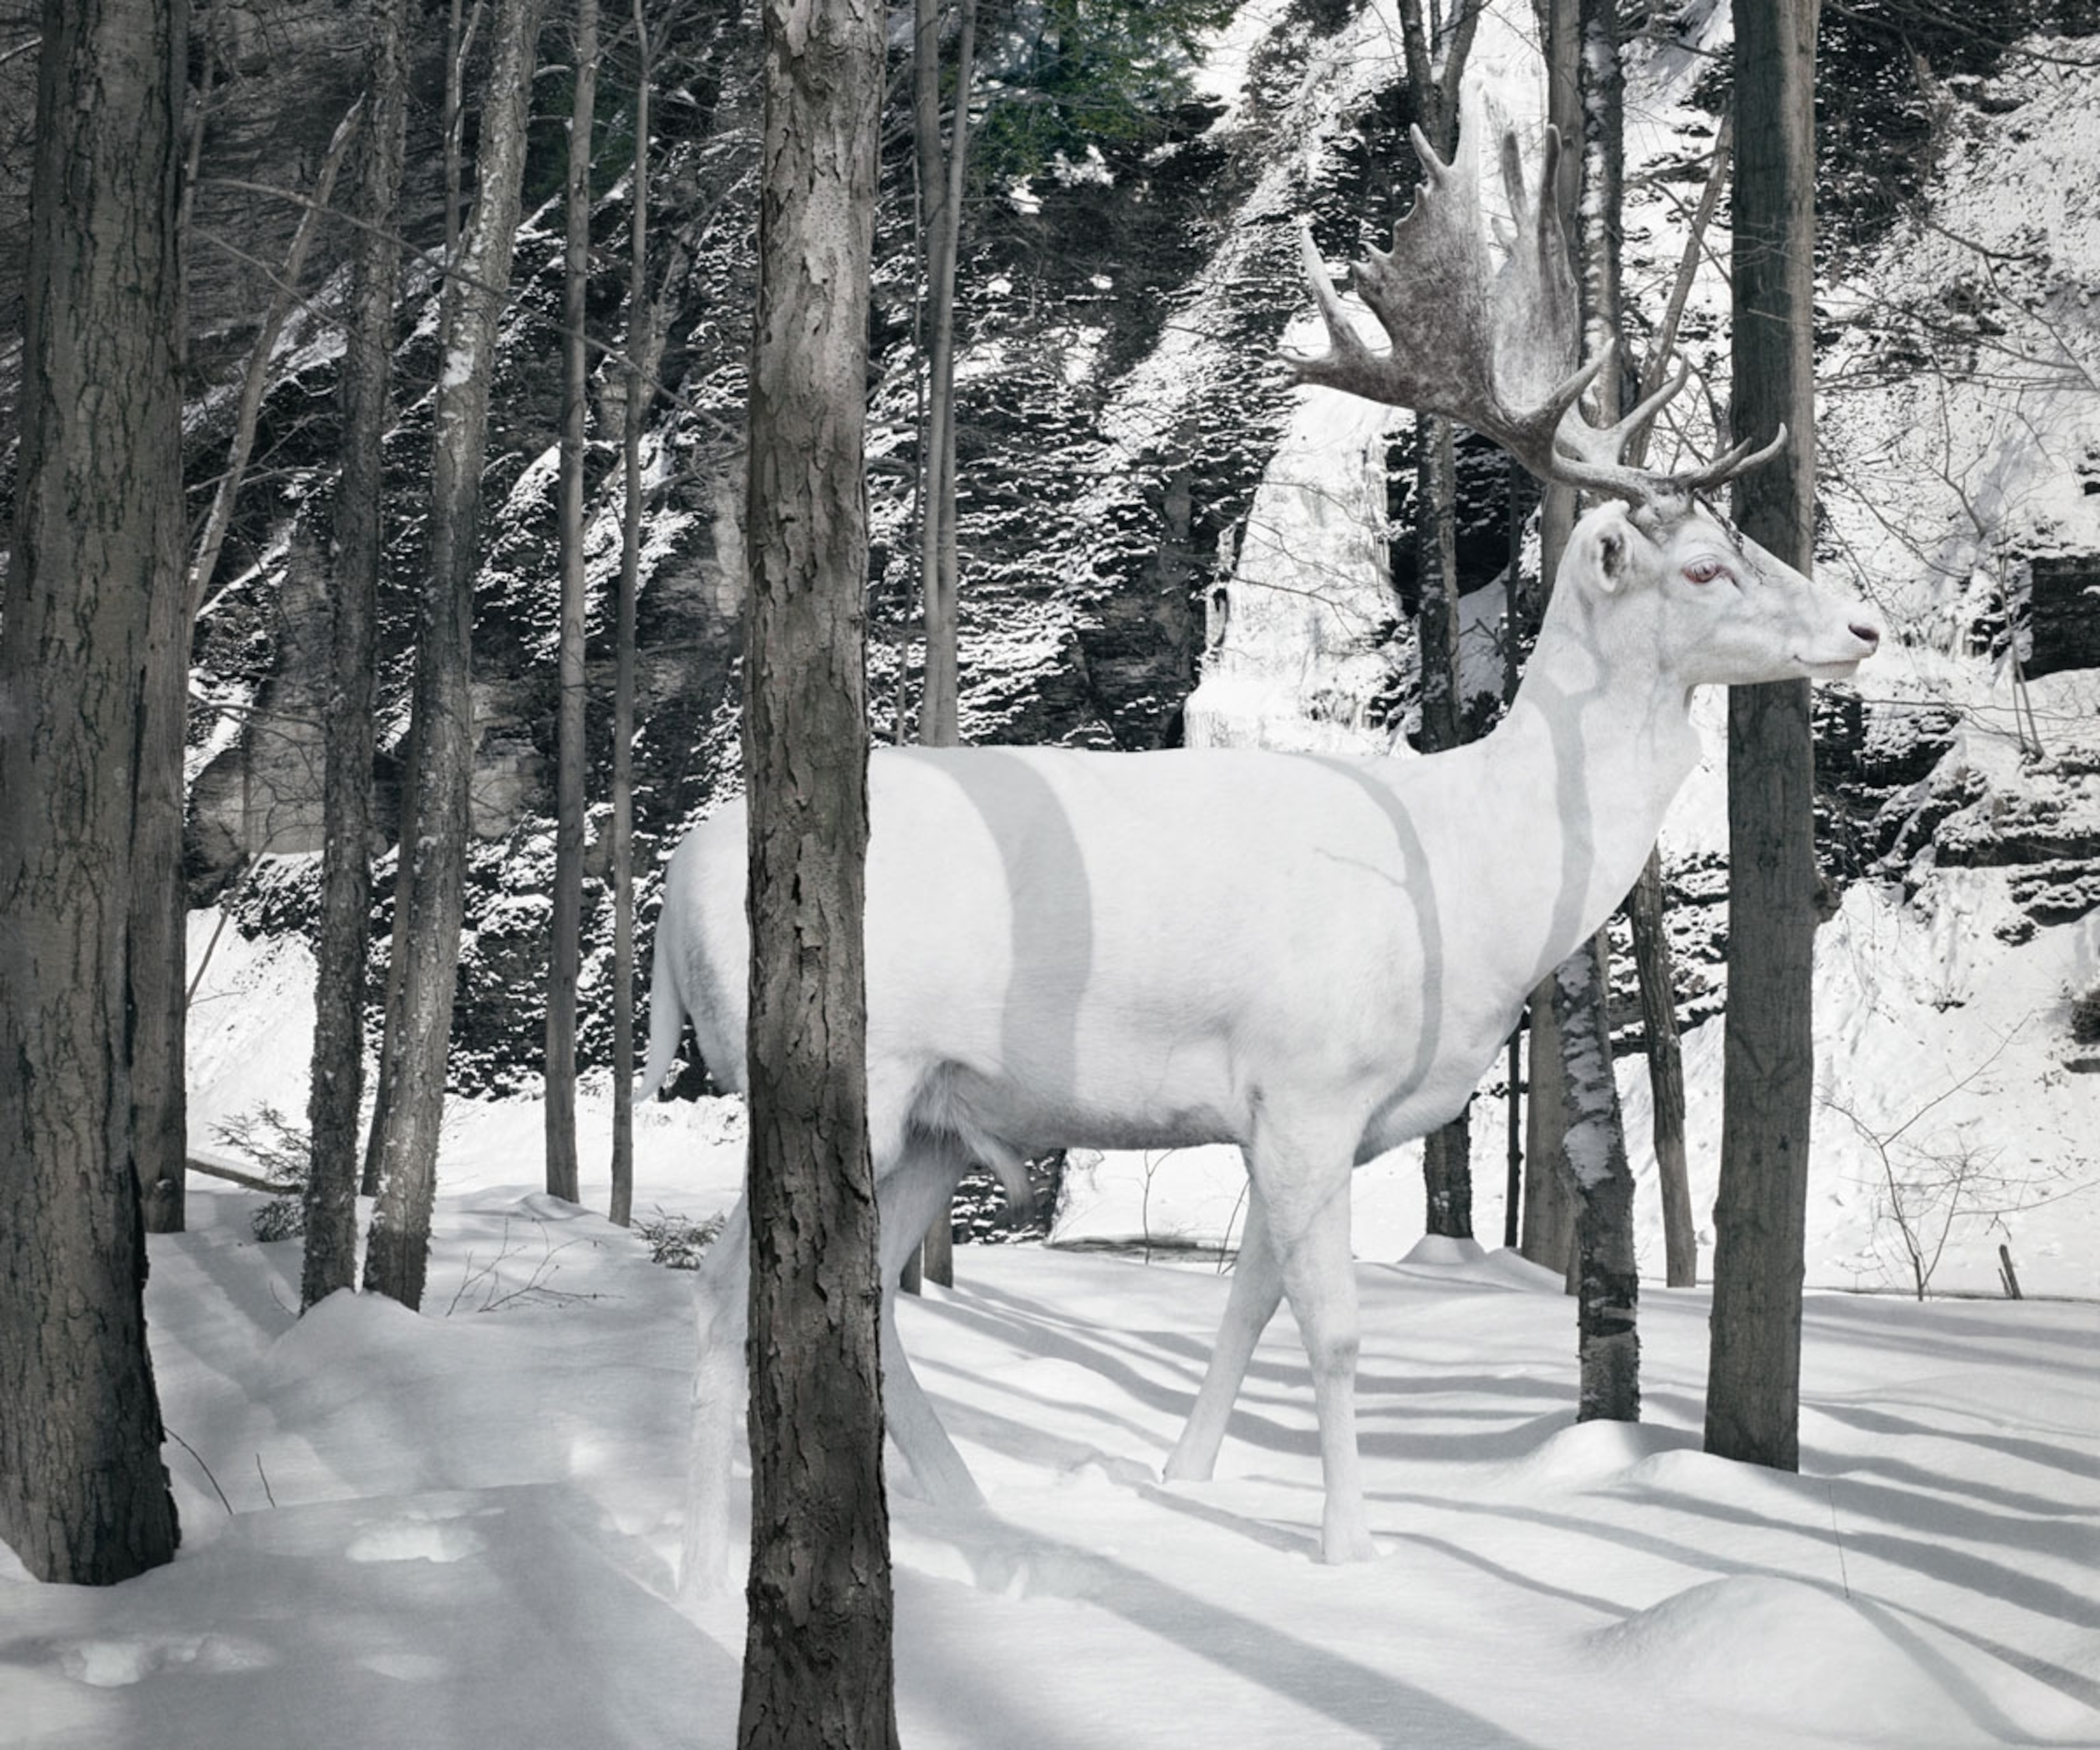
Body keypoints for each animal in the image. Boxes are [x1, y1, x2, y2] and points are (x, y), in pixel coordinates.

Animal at [650, 122, 1881, 1584]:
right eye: (1698, 567)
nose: (1862, 628)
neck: (1474, 886)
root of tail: (673, 885)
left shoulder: (1307, 1120)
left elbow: (1246, 1306)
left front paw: (1183, 1487)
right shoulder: (1303, 1080)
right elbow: (1333, 1330)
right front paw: (1351, 1555)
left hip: (940, 1118)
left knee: (870, 1304)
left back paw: (981, 1524)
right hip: (832, 1068)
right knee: (725, 1288)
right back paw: (700, 1563)